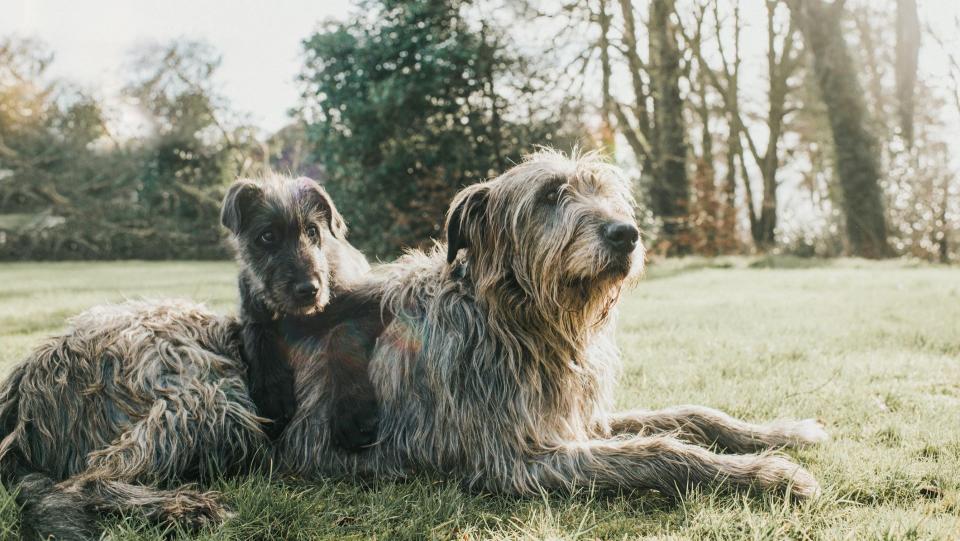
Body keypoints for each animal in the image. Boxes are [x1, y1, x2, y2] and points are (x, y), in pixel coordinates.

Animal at [222, 175, 378, 446]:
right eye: (267, 236)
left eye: (312, 231)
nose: (310, 289)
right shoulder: (251, 317)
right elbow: (257, 340)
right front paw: (272, 393)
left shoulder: (369, 304)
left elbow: (342, 336)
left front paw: (353, 410)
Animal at [276, 148, 824, 498]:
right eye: (548, 195)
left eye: (606, 193)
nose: (627, 234)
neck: (518, 321)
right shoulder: (518, 459)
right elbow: (657, 452)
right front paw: (767, 475)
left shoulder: (575, 416)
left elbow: (692, 414)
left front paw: (781, 434)